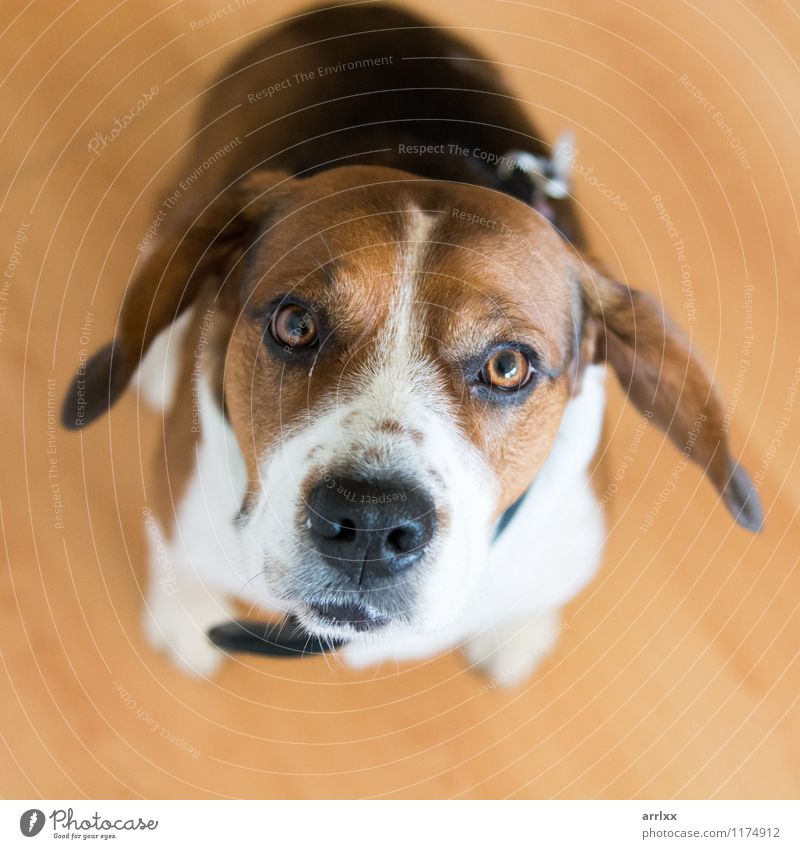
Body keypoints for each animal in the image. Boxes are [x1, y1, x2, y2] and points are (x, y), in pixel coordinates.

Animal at [62, 3, 764, 684]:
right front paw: (184, 616)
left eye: (508, 366)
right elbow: (178, 560)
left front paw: (515, 630)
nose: (370, 524)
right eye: (295, 325)